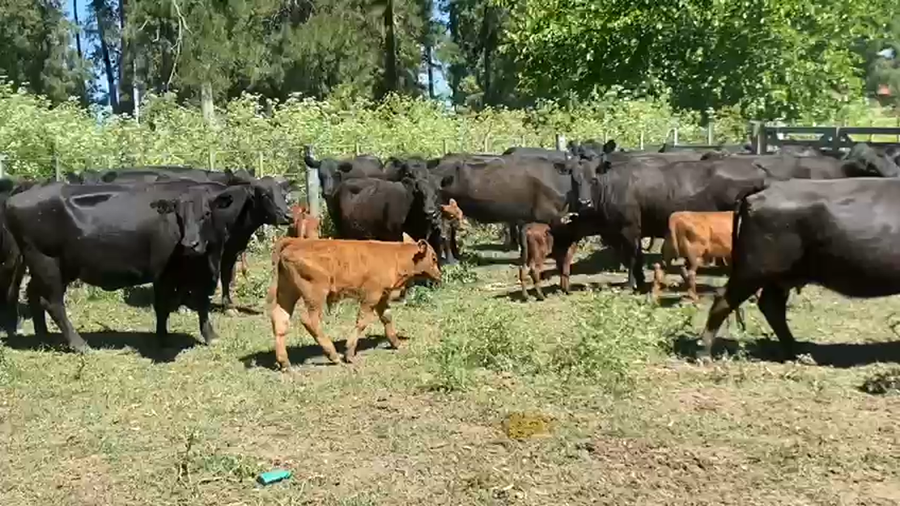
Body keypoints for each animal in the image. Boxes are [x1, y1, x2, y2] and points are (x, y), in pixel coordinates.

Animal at [3, 180, 243, 351]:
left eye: (207, 213)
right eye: (179, 216)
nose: (190, 244)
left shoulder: (202, 273)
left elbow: (202, 304)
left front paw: (210, 336)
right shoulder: (162, 273)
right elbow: (163, 306)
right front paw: (162, 339)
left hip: (58, 266)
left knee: (33, 294)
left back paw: (43, 336)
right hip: (46, 262)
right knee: (52, 302)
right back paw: (79, 344)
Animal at [268, 238, 441, 369]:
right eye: (434, 258)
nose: (439, 275)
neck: (396, 256)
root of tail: (293, 243)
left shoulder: (382, 297)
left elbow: (387, 318)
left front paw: (396, 343)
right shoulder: (371, 296)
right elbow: (362, 321)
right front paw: (349, 354)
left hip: (287, 293)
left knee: (280, 319)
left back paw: (284, 363)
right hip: (315, 296)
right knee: (308, 319)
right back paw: (333, 355)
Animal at [698, 178, 900, 361]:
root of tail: (768, 185)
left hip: (778, 276)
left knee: (771, 306)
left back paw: (795, 351)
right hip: (753, 270)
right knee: (724, 300)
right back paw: (705, 354)